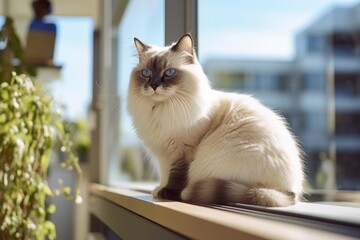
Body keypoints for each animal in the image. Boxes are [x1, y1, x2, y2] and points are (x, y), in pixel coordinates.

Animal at [127, 34, 304, 208]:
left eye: (169, 72)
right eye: (146, 73)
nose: (154, 85)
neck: (161, 110)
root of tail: (289, 192)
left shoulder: (181, 152)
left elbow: (176, 176)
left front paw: (168, 193)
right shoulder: (163, 154)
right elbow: (165, 175)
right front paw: (159, 190)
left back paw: (185, 194)